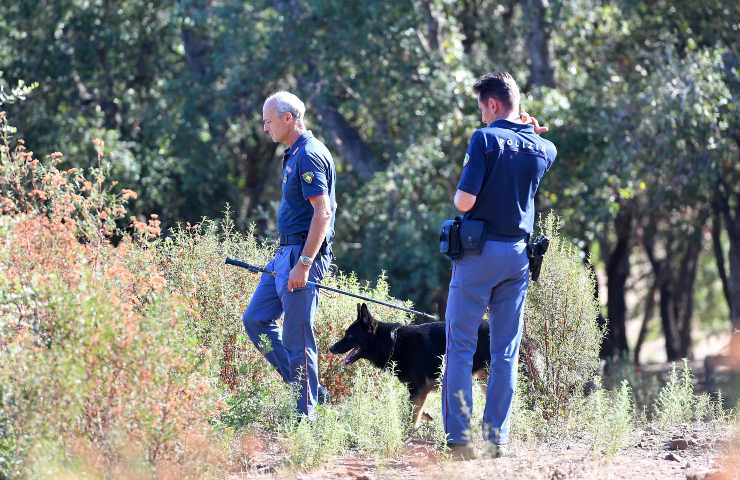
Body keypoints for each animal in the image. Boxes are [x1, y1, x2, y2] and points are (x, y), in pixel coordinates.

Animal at [330, 304, 492, 424]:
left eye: (350, 336)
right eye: (346, 334)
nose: (331, 348)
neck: (393, 342)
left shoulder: (418, 389)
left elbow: (412, 416)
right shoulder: (418, 391)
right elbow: (417, 411)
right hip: (483, 380)